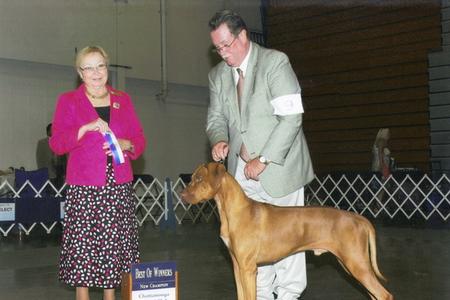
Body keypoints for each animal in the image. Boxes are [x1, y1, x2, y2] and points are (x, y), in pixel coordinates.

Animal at [181, 163, 392, 298]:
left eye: (199, 178)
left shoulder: (248, 269)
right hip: (352, 264)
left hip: (357, 263)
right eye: (191, 178)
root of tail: (359, 218)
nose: (182, 195)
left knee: (384, 295)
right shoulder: (237, 266)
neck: (233, 211)